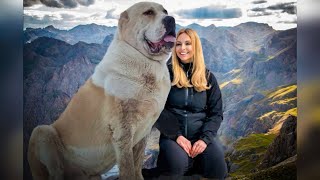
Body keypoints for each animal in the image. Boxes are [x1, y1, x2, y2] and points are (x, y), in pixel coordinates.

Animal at [28, 1, 175, 180]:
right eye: (148, 12)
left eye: (165, 11)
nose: (171, 19)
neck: (143, 62)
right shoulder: (122, 131)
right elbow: (128, 167)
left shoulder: (144, 132)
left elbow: (137, 163)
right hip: (42, 131)